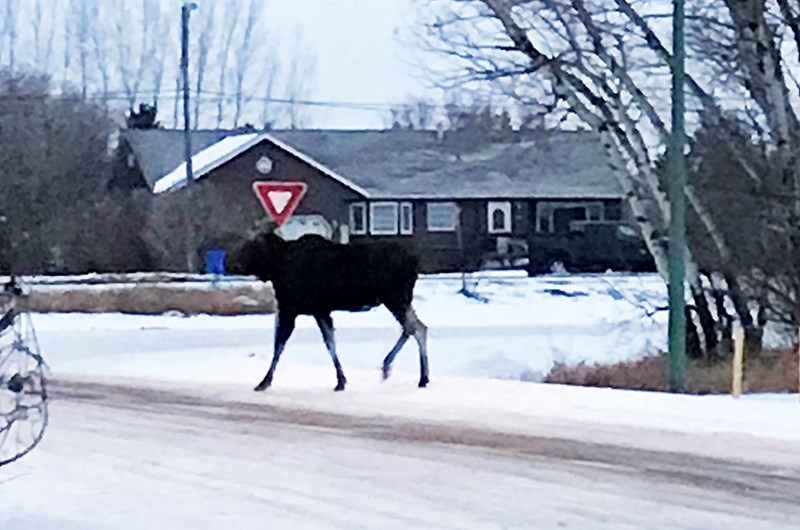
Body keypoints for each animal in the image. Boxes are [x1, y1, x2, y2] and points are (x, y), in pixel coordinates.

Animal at [225, 229, 428, 390]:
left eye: (250, 246)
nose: (229, 262)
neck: (276, 267)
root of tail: (415, 262)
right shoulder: (320, 310)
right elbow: (330, 342)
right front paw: (341, 381)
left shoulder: (291, 308)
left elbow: (279, 344)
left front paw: (264, 382)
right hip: (399, 300)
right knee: (417, 327)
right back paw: (412, 374)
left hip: (395, 298)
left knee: (414, 328)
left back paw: (412, 375)